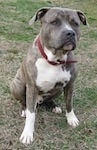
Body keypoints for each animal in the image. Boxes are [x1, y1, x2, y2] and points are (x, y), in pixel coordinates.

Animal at [9, 7, 87, 144]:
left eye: (75, 24)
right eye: (54, 22)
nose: (70, 33)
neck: (55, 59)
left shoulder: (70, 84)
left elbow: (69, 103)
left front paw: (71, 119)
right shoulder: (31, 87)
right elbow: (31, 115)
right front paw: (27, 133)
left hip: (59, 89)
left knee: (48, 100)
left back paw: (54, 106)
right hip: (17, 85)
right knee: (24, 102)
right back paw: (23, 109)